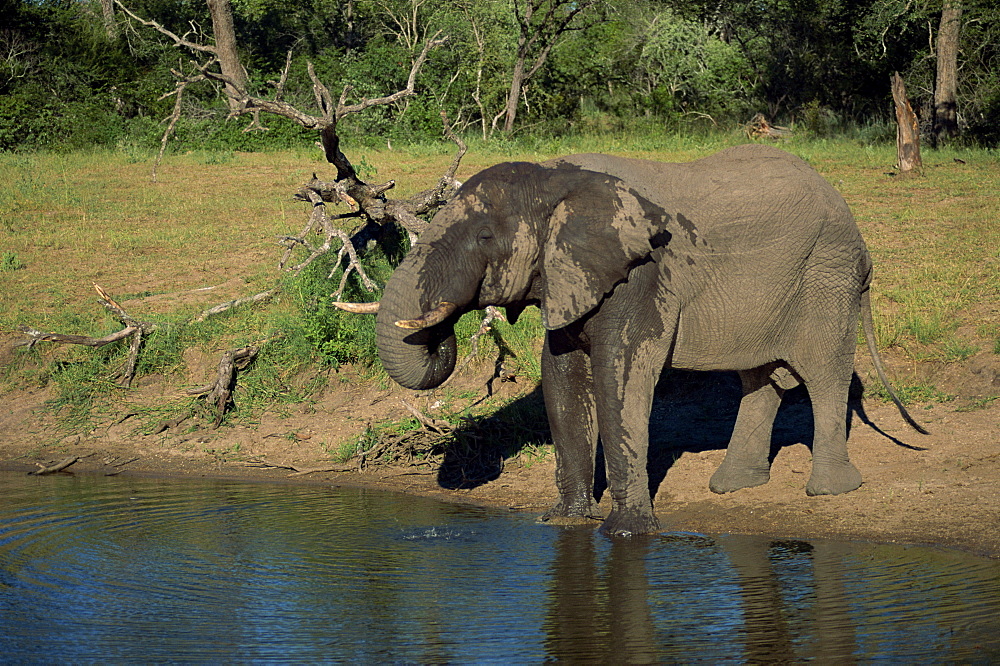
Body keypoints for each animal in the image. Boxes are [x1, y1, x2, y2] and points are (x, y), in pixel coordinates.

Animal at [358, 144, 920, 536]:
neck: (557, 177)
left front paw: (626, 533)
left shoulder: (642, 271)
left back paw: (828, 491)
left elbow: (620, 377)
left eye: (484, 238)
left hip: (826, 274)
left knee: (824, 374)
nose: (437, 335)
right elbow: (562, 380)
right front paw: (564, 521)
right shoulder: (570, 274)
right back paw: (733, 485)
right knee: (760, 379)